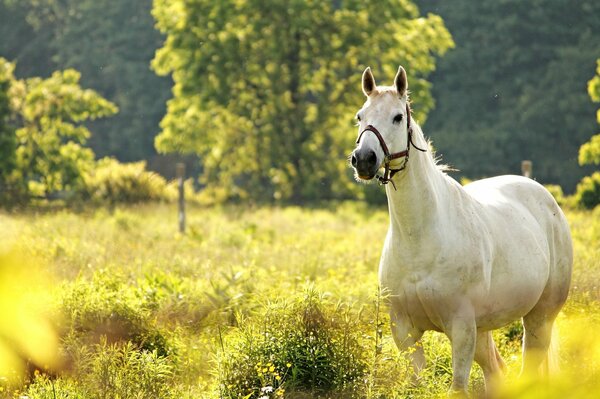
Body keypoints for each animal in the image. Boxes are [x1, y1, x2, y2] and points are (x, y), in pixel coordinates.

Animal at [352, 65, 572, 396]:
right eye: (360, 116)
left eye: (397, 117)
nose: (364, 159)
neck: (421, 239)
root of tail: (544, 197)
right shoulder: (404, 331)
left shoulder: (461, 327)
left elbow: (457, 388)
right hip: (484, 330)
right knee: (496, 372)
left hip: (539, 318)